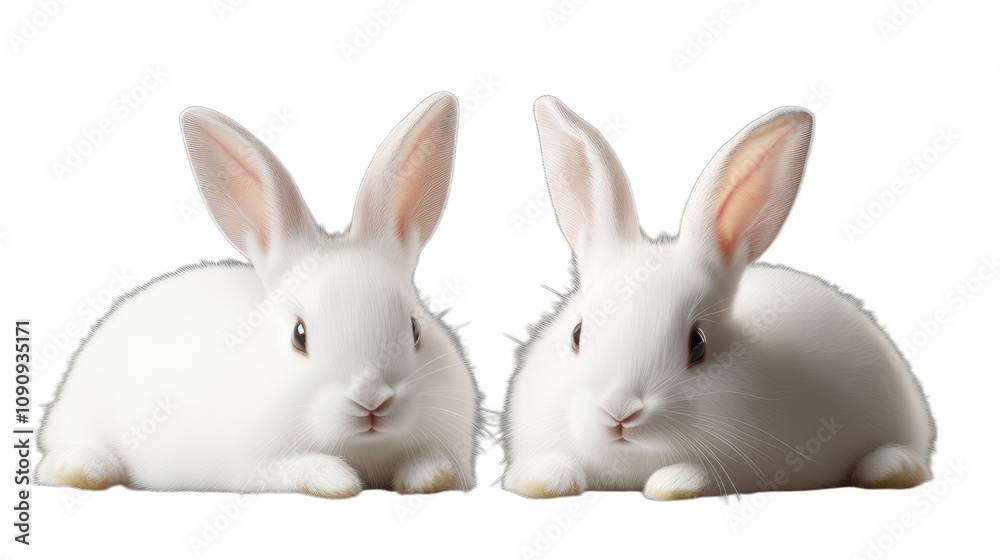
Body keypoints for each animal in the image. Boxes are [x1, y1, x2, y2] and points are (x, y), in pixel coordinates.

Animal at [37, 92, 482, 498]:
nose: (371, 401)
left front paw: (427, 478)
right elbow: (294, 469)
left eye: (415, 329)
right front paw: (336, 480)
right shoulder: (251, 466)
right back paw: (86, 470)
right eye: (299, 336)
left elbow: (432, 465)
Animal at [501, 96, 935, 500]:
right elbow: (551, 465)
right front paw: (542, 480)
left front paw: (670, 485)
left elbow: (697, 474)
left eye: (698, 344)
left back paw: (890, 468)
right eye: (577, 335)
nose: (619, 412)